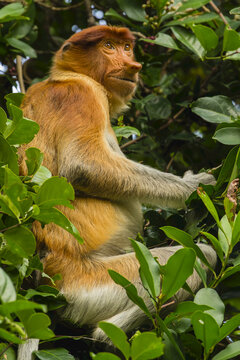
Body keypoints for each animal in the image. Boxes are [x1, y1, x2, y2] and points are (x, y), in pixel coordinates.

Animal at [18, 24, 217, 340]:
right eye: (108, 46)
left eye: (127, 47)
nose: (133, 65)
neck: (68, 75)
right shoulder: (82, 95)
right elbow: (83, 166)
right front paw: (195, 185)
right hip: (96, 281)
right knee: (199, 255)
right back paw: (109, 336)